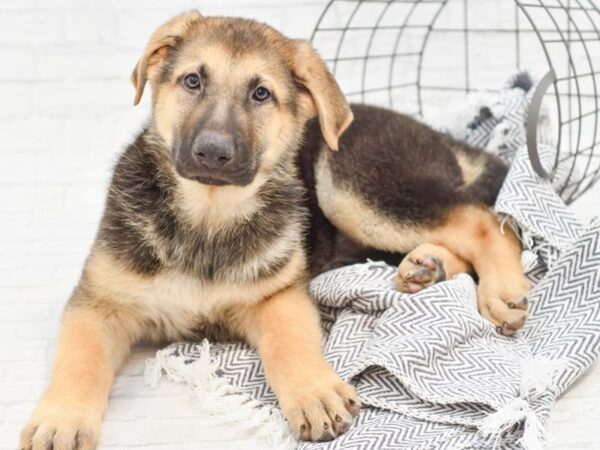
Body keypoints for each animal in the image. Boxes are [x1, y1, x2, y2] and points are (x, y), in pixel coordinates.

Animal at [22, 10, 528, 450]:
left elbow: (290, 342)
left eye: (261, 95)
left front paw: (313, 393)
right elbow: (79, 360)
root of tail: (440, 135)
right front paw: (61, 420)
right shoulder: (97, 303)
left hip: (350, 181)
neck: (208, 217)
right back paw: (428, 267)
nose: (213, 153)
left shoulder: (279, 294)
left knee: (482, 218)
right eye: (192, 81)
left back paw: (502, 290)